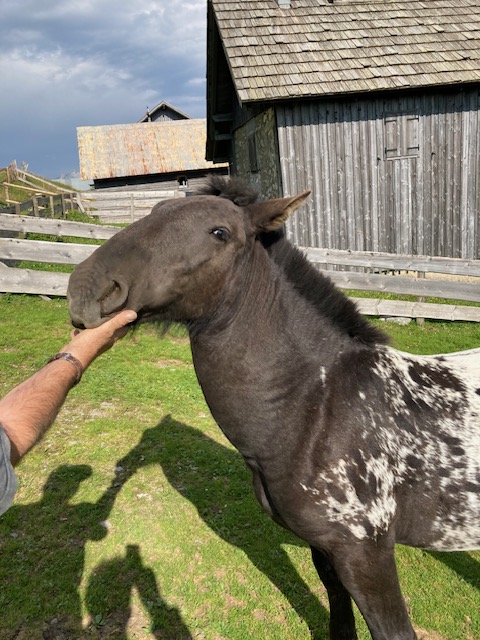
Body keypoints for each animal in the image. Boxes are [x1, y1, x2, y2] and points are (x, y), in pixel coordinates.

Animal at [67, 176, 480, 640]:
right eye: (155, 211)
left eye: (220, 232)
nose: (87, 290)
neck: (316, 410)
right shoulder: (325, 549)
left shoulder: (366, 555)